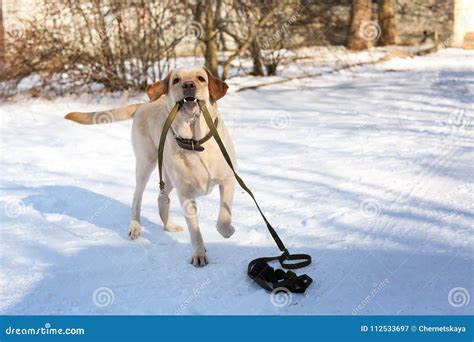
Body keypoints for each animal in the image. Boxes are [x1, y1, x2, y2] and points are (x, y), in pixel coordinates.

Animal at [65, 68, 236, 268]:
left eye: (201, 78)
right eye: (176, 80)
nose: (188, 85)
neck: (196, 143)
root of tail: (143, 104)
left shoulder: (228, 180)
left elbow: (223, 218)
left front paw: (227, 231)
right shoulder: (185, 194)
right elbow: (195, 231)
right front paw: (199, 254)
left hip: (168, 175)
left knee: (162, 197)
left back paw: (168, 225)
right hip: (146, 163)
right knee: (137, 197)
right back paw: (135, 227)